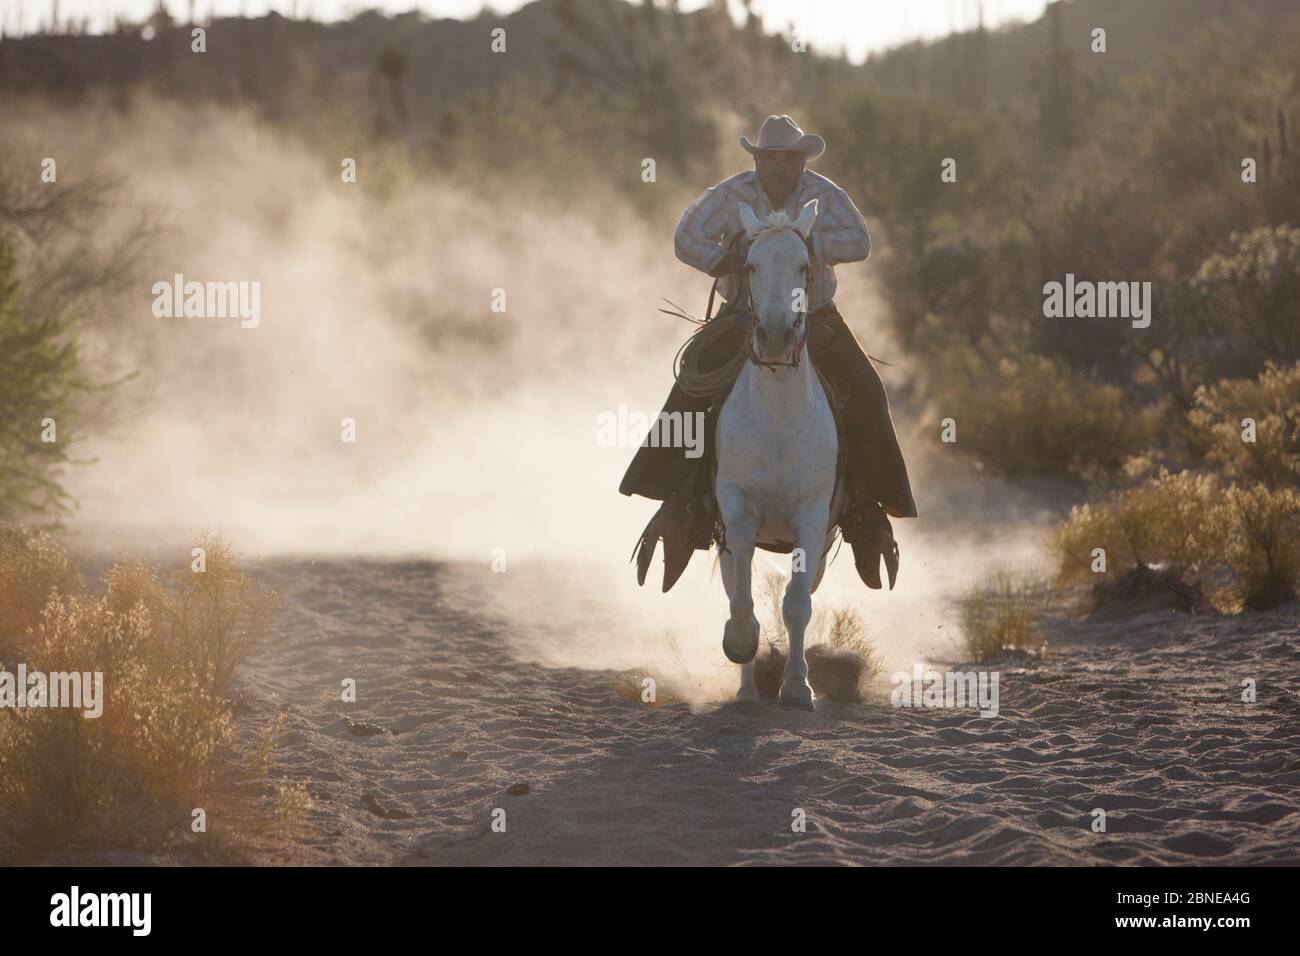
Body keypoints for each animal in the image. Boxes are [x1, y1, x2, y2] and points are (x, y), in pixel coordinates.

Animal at [712, 200, 842, 712]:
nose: (774, 336)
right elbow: (741, 593)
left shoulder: (811, 517)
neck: (780, 420)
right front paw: (741, 640)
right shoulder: (735, 505)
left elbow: (797, 603)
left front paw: (797, 687)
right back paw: (747, 692)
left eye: (805, 266)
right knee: (735, 581)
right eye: (750, 265)